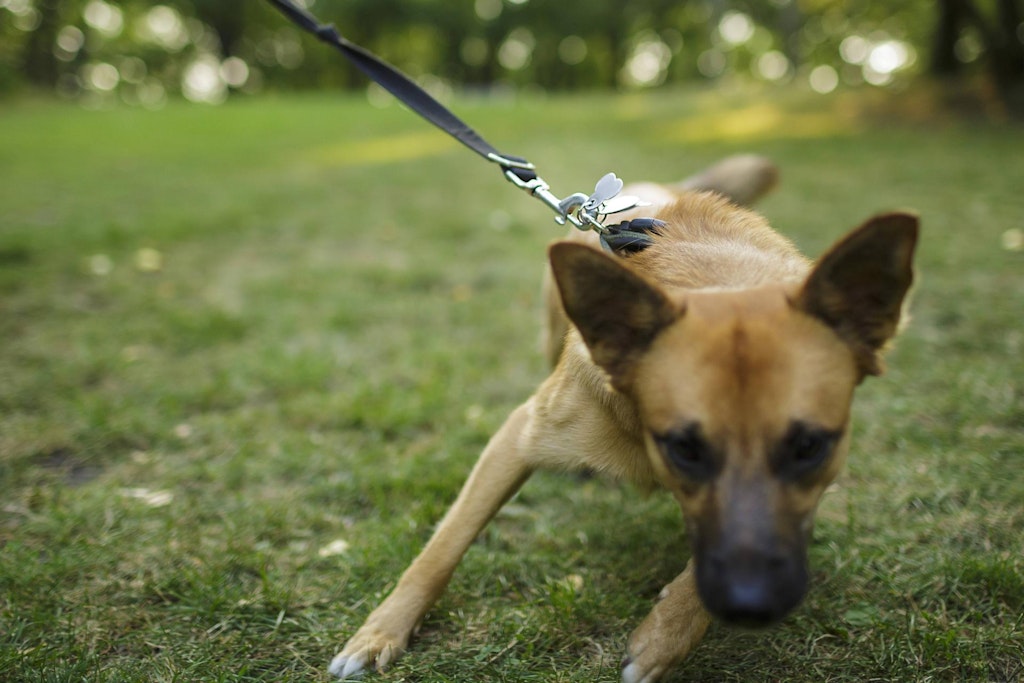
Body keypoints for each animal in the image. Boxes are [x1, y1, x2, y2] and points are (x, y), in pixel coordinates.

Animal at [329, 156, 921, 683]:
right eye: (684, 447)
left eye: (809, 448)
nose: (754, 607)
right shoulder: (516, 439)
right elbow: (442, 548)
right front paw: (380, 633)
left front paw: (663, 637)